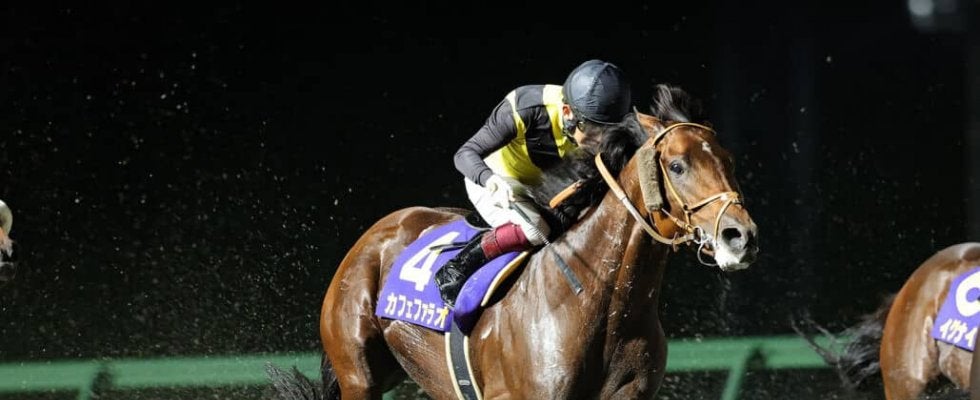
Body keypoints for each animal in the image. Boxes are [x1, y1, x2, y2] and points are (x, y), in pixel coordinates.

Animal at [269, 84, 759, 399]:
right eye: (677, 165)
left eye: (729, 161)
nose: (741, 236)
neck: (601, 301)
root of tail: (375, 234)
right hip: (359, 374)